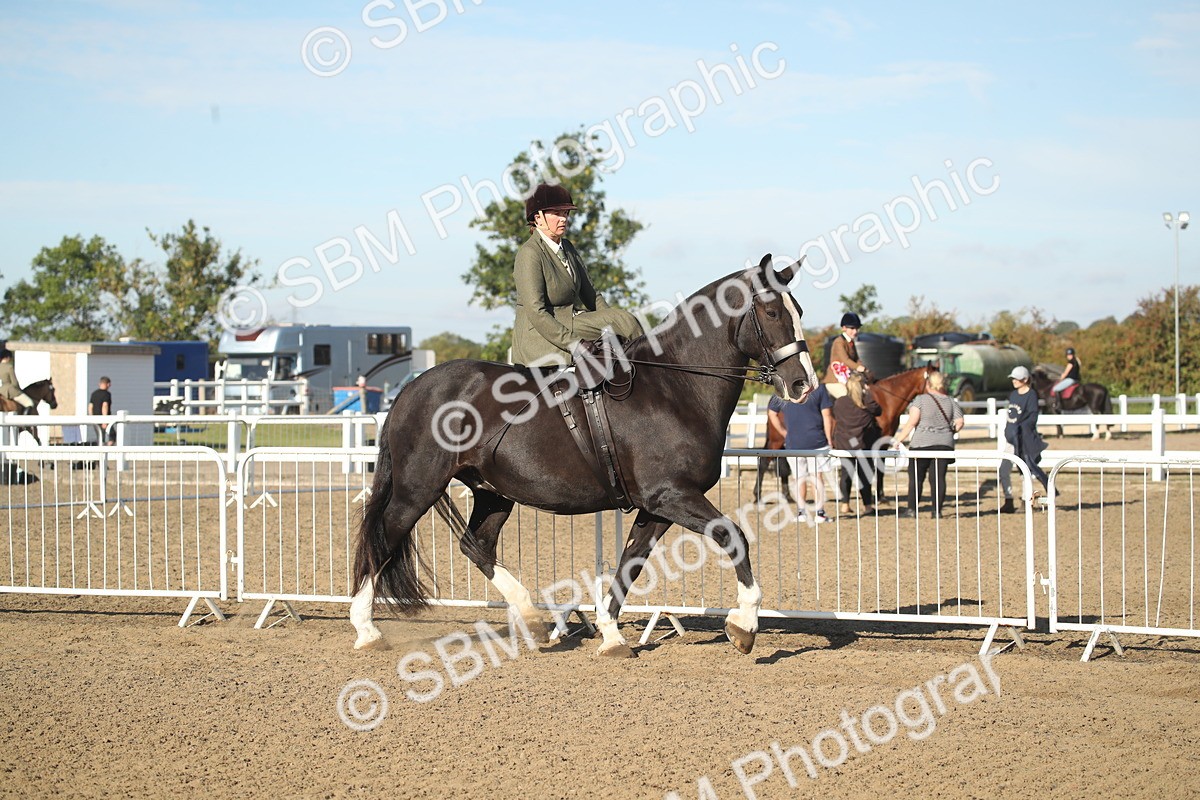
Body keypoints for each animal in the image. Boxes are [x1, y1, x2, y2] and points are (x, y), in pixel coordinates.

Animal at [350, 256, 819, 658]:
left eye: (799, 309)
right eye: (773, 313)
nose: (803, 384)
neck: (674, 388)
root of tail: (413, 387)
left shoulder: (659, 506)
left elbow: (631, 564)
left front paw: (611, 635)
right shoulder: (671, 496)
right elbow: (733, 536)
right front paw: (744, 625)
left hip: (493, 492)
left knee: (476, 545)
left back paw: (533, 619)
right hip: (418, 489)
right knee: (384, 537)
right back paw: (367, 629)